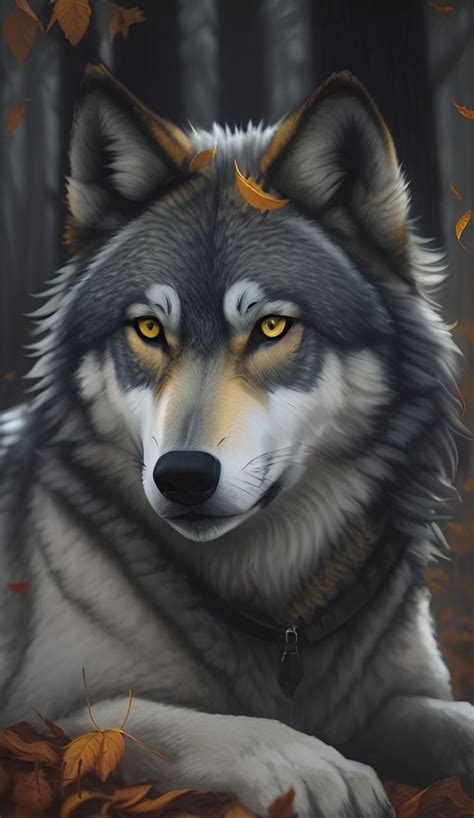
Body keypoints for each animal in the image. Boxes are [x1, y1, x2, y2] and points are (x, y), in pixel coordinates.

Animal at [0, 65, 472, 818]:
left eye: (273, 327)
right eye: (149, 329)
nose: (182, 476)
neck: (276, 616)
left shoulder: (397, 696)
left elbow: (455, 720)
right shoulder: (45, 710)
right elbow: (202, 722)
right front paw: (314, 766)